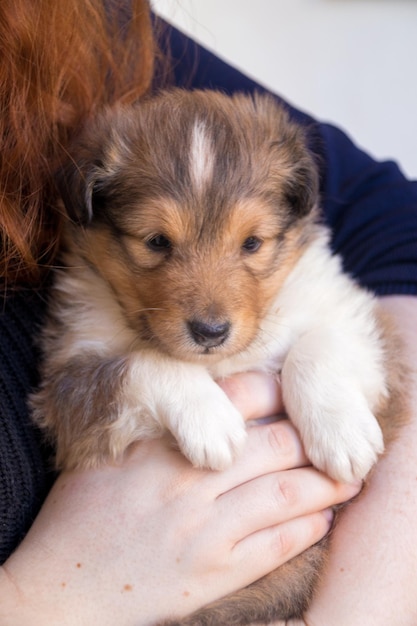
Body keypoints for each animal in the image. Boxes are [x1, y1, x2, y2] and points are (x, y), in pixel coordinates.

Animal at [31, 89, 406, 624]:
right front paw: (211, 420)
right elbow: (144, 361)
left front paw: (343, 435)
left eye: (252, 242)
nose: (210, 332)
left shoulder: (359, 319)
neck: (217, 362)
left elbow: (316, 347)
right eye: (156, 241)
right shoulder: (66, 383)